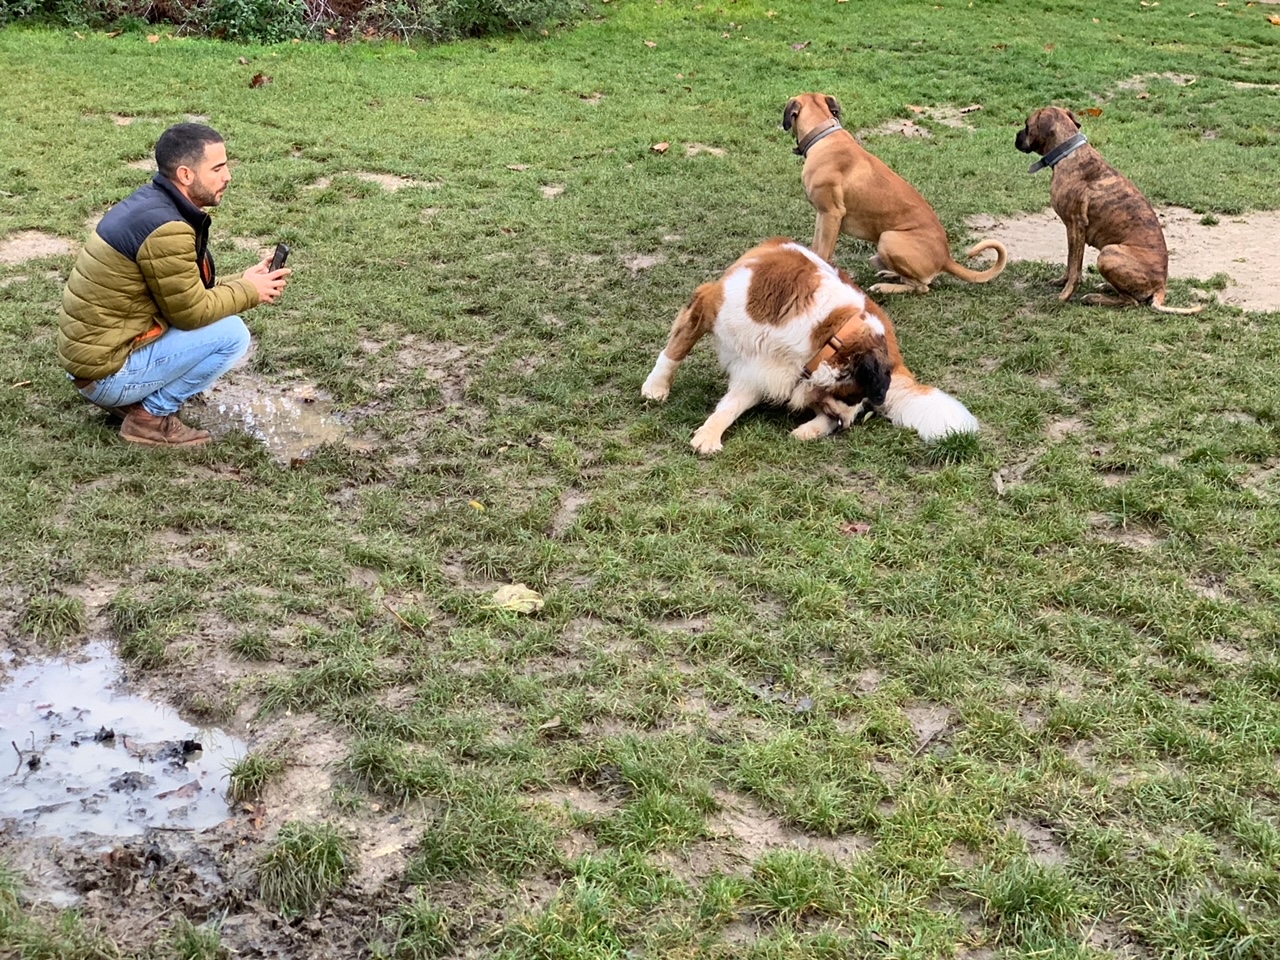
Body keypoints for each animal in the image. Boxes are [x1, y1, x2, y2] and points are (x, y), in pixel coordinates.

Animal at [640, 236, 977, 455]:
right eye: (856, 394)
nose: (845, 425)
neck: (825, 333)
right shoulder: (711, 310)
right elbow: (677, 353)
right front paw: (659, 389)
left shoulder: (769, 372)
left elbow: (730, 404)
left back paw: (808, 430)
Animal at [783, 94, 1003, 296]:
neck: (823, 134)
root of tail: (946, 258)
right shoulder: (822, 215)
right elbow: (815, 247)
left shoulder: (831, 215)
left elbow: (823, 253)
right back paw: (890, 274)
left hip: (888, 238)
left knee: (922, 286)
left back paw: (886, 286)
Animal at [1018, 107, 1198, 316]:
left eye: (1027, 125)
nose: (1016, 136)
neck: (1069, 153)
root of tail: (1161, 285)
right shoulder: (1072, 232)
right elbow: (1070, 263)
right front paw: (1061, 282)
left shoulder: (1075, 227)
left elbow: (1075, 269)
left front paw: (1064, 296)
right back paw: (1105, 287)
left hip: (1108, 253)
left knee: (1130, 301)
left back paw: (1094, 298)